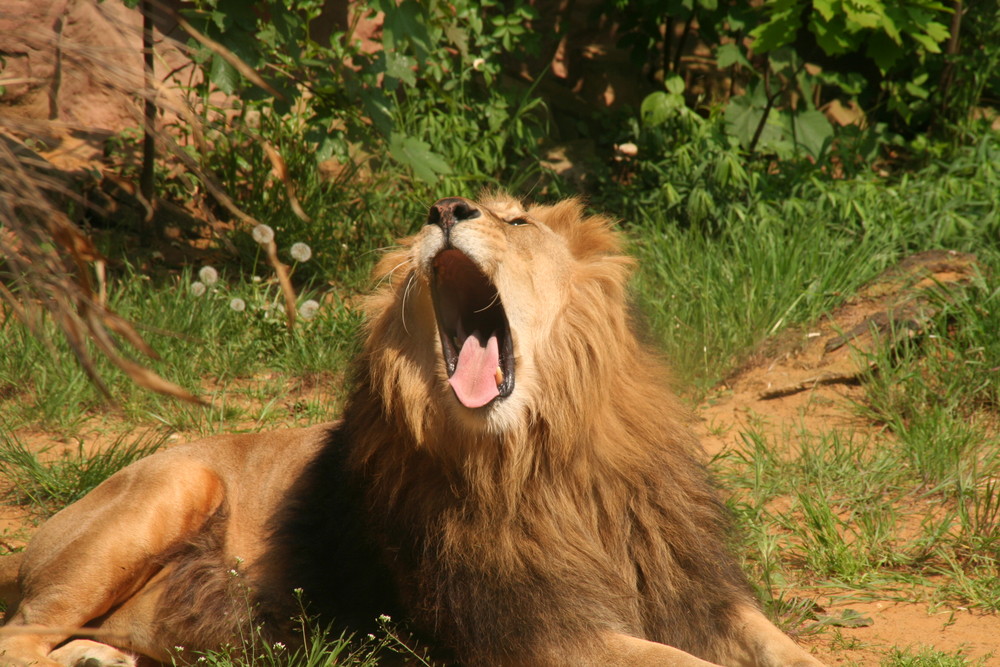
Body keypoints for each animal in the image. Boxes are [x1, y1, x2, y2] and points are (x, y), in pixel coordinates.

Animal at [0, 194, 824, 667]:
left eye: (516, 219)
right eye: (447, 212)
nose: (448, 208)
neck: (545, 454)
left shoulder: (701, 594)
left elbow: (788, 650)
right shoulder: (538, 632)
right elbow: (682, 663)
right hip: (178, 480)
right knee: (19, 636)